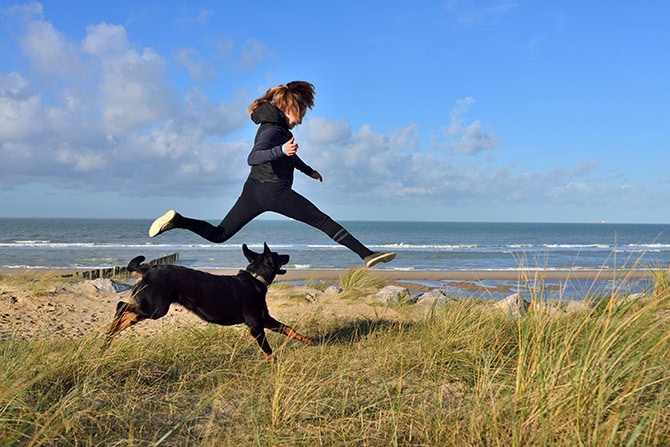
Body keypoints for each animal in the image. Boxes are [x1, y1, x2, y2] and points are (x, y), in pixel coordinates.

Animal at [106, 243, 314, 362]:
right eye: (278, 255)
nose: (288, 256)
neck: (256, 279)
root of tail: (146, 269)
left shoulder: (265, 319)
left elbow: (289, 329)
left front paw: (309, 340)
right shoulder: (256, 325)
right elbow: (269, 350)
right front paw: (276, 365)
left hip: (149, 307)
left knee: (125, 316)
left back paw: (107, 340)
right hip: (155, 308)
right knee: (121, 307)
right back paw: (108, 336)